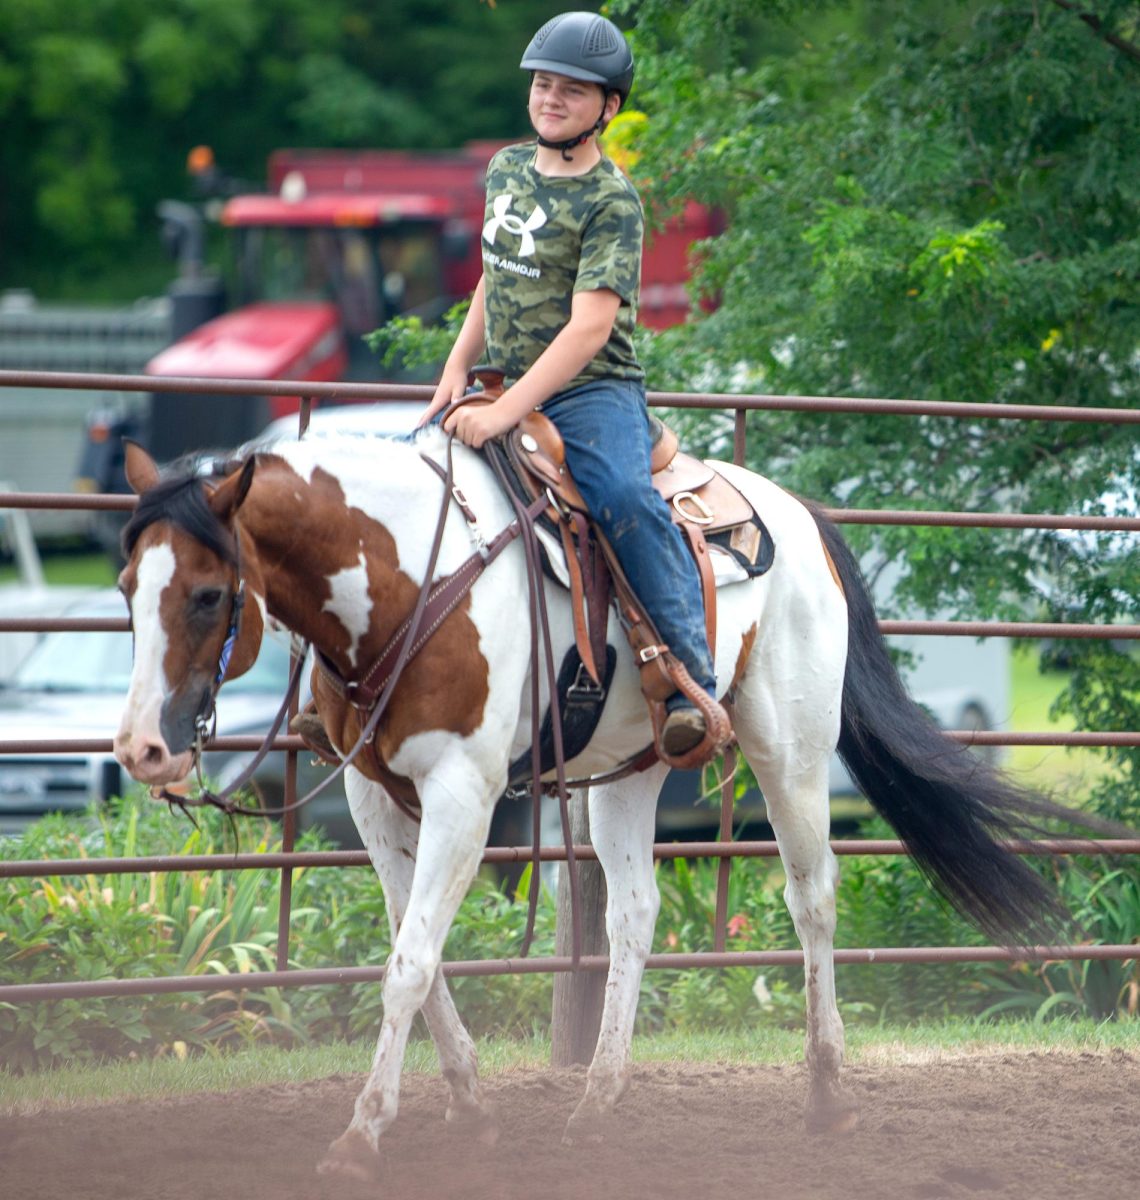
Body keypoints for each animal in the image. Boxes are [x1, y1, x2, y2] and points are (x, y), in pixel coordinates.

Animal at [114, 427, 1089, 1176]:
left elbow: (409, 964)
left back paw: (825, 1092)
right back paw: (598, 1100)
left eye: (208, 593)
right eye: (126, 589)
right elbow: (411, 954)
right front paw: (468, 1106)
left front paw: (360, 1139)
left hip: (792, 749)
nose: (141, 747)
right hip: (637, 766)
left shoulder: (463, 793)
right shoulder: (372, 794)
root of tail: (799, 515)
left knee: (811, 895)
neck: (406, 583)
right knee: (634, 912)